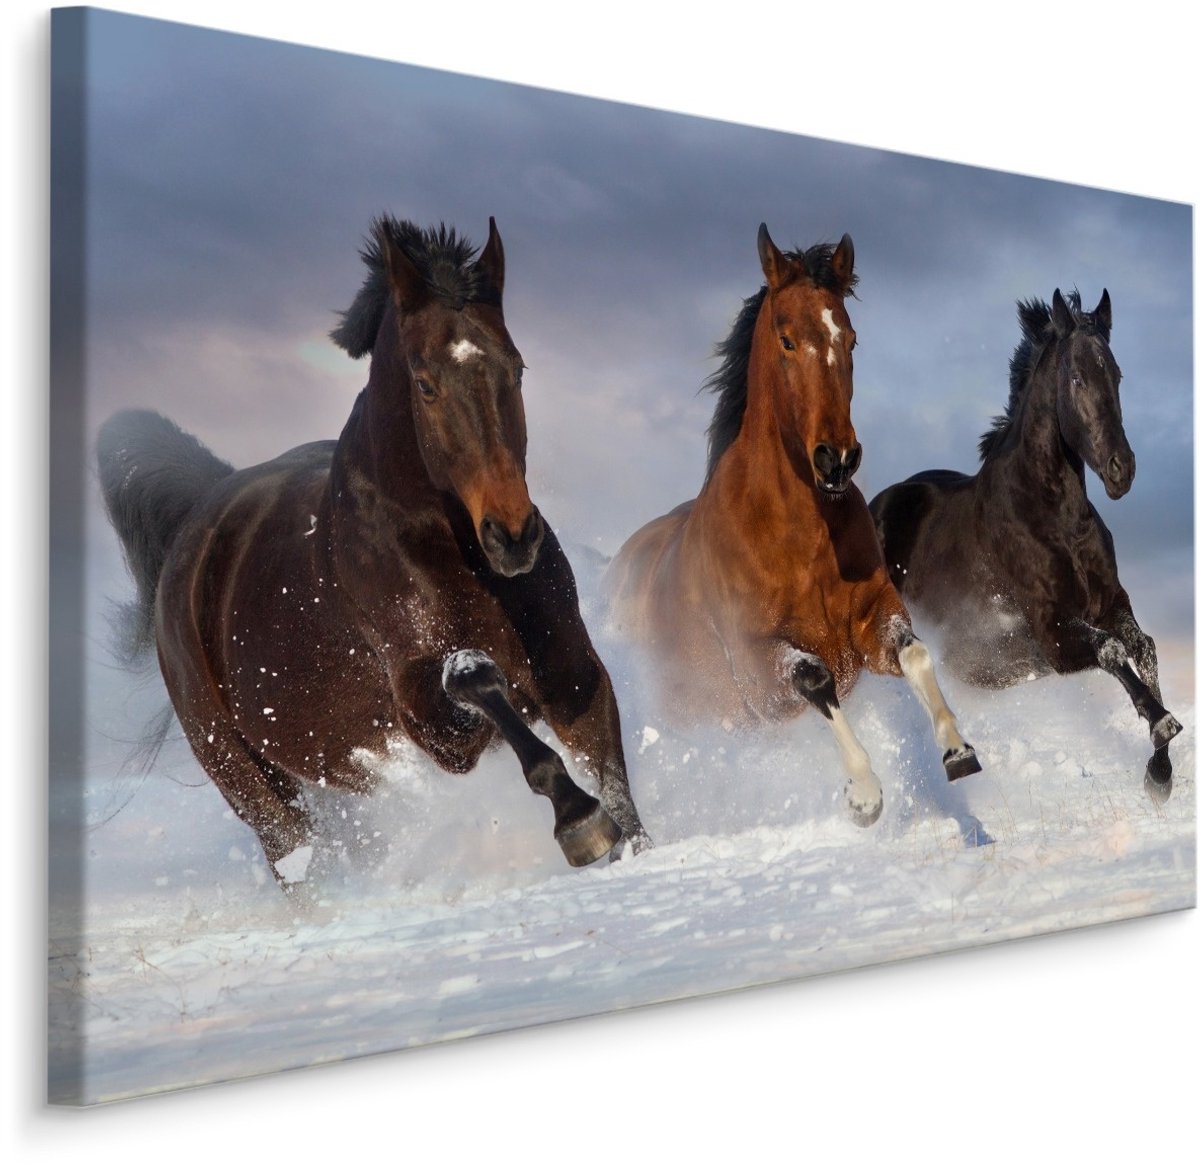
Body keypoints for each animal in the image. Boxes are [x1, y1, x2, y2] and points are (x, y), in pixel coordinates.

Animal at [97, 215, 652, 893]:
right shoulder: (431, 724)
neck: (448, 551)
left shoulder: (571, 670)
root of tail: (196, 530)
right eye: (425, 383)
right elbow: (477, 678)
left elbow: (615, 782)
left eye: (517, 368)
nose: (513, 536)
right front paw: (579, 822)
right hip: (252, 786)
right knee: (296, 860)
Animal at [606, 224, 980, 828]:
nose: (837, 459)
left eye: (850, 339)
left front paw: (957, 750)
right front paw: (864, 795)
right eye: (786, 340)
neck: (799, 536)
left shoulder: (871, 623)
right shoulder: (760, 670)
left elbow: (915, 652)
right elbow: (815, 679)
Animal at [869, 289, 1182, 801]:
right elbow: (1112, 651)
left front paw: (1160, 772)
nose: (1122, 469)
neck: (1054, 519)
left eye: (1116, 375)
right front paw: (1162, 725)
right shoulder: (1051, 630)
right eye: (1076, 377)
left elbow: (1144, 647)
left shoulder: (1110, 602)